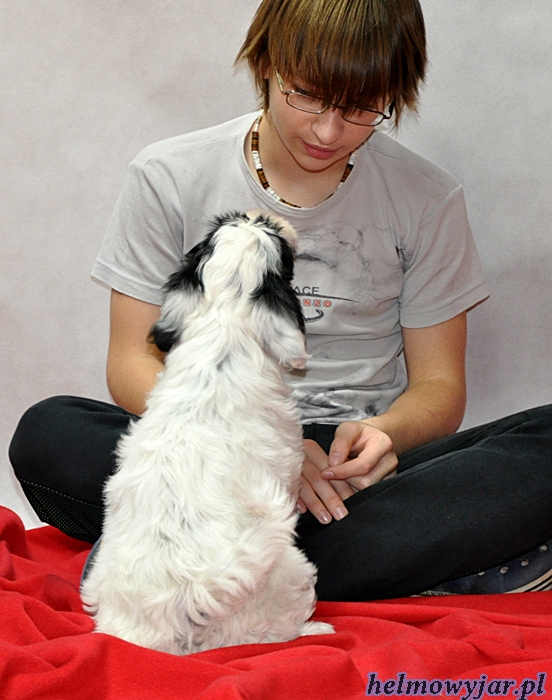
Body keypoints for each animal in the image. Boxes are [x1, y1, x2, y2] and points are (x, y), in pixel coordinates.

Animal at [81, 211, 334, 655]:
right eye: (273, 235)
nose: (266, 213)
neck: (223, 321)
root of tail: (188, 594)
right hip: (288, 572)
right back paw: (313, 630)